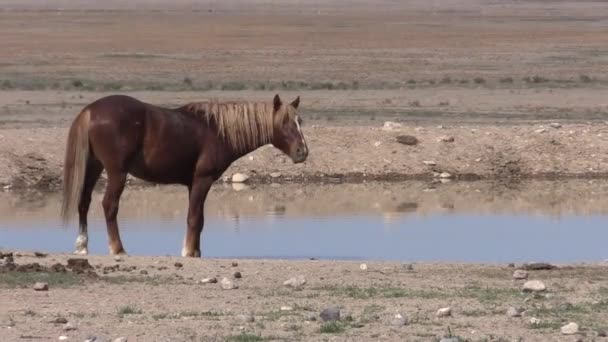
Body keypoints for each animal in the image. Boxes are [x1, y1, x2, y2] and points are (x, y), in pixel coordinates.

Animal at [60, 93, 308, 256]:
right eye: (284, 122)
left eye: (300, 121)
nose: (302, 152)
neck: (217, 131)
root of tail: (90, 111)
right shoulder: (202, 180)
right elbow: (194, 218)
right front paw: (188, 251)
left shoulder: (192, 184)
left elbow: (198, 218)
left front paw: (196, 251)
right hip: (116, 173)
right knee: (109, 205)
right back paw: (118, 249)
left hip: (93, 166)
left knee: (84, 202)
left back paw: (82, 245)